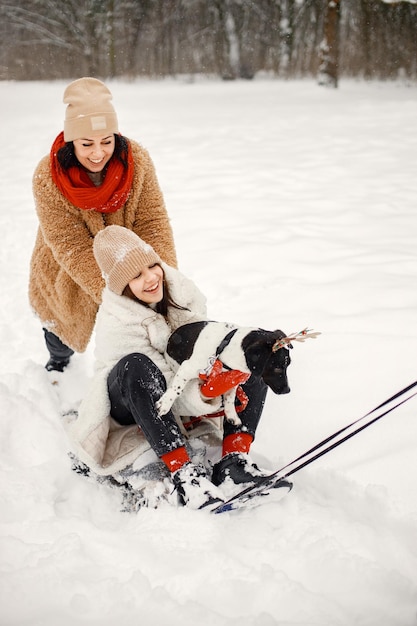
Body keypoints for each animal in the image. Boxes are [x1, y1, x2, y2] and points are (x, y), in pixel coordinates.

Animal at [157, 320, 292, 422]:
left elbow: (230, 398)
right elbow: (176, 389)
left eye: (289, 364)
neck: (223, 348)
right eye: (278, 368)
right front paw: (164, 404)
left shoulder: (231, 380)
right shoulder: (187, 368)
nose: (287, 390)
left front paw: (231, 414)